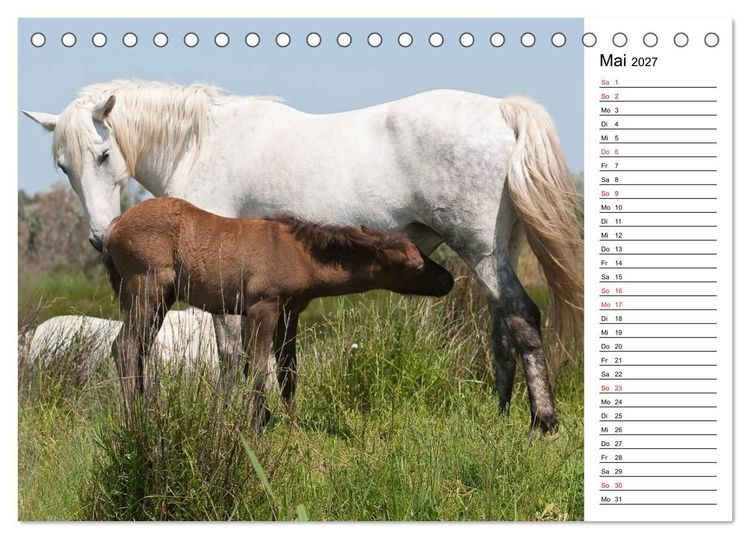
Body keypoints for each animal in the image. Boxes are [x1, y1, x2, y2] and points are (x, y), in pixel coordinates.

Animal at [102, 196, 454, 424]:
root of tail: (113, 227)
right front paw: (252, 424)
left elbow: (288, 372)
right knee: (125, 346)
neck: (299, 254)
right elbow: (259, 369)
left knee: (139, 348)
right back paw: (134, 420)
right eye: (416, 264)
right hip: (148, 289)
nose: (448, 280)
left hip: (158, 300)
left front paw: (291, 425)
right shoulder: (264, 309)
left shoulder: (290, 313)